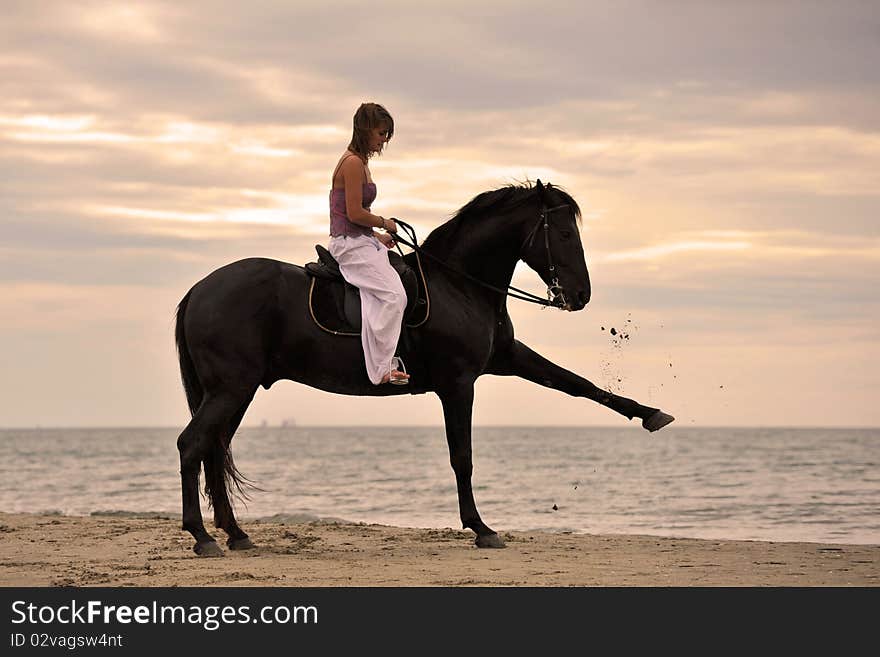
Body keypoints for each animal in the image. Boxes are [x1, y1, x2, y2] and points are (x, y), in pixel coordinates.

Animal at [174, 179, 672, 552]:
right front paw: (481, 529)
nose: (580, 295)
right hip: (231, 389)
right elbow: (462, 456)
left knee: (214, 448)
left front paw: (651, 414)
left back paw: (236, 534)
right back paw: (202, 537)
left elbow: (576, 383)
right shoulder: (459, 383)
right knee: (192, 444)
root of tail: (199, 289)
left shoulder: (508, 358)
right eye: (566, 234)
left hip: (236, 390)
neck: (459, 284)